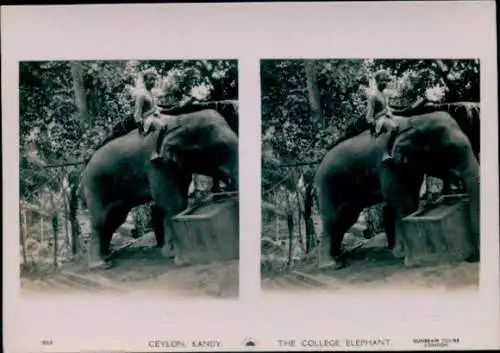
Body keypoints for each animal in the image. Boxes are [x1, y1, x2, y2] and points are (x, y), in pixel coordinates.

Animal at [80, 108, 238, 268]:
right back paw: (100, 264)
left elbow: (180, 197)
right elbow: (170, 201)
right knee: (101, 220)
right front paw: (172, 254)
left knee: (114, 219)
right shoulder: (156, 165)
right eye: (221, 149)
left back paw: (107, 256)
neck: (181, 118)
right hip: (95, 187)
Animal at [316, 111, 480, 268]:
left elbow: (411, 198)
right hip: (327, 186)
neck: (414, 120)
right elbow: (400, 200)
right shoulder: (387, 165)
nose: (474, 259)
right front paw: (401, 254)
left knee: (346, 219)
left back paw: (339, 257)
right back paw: (331, 265)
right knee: (333, 220)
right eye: (449, 150)